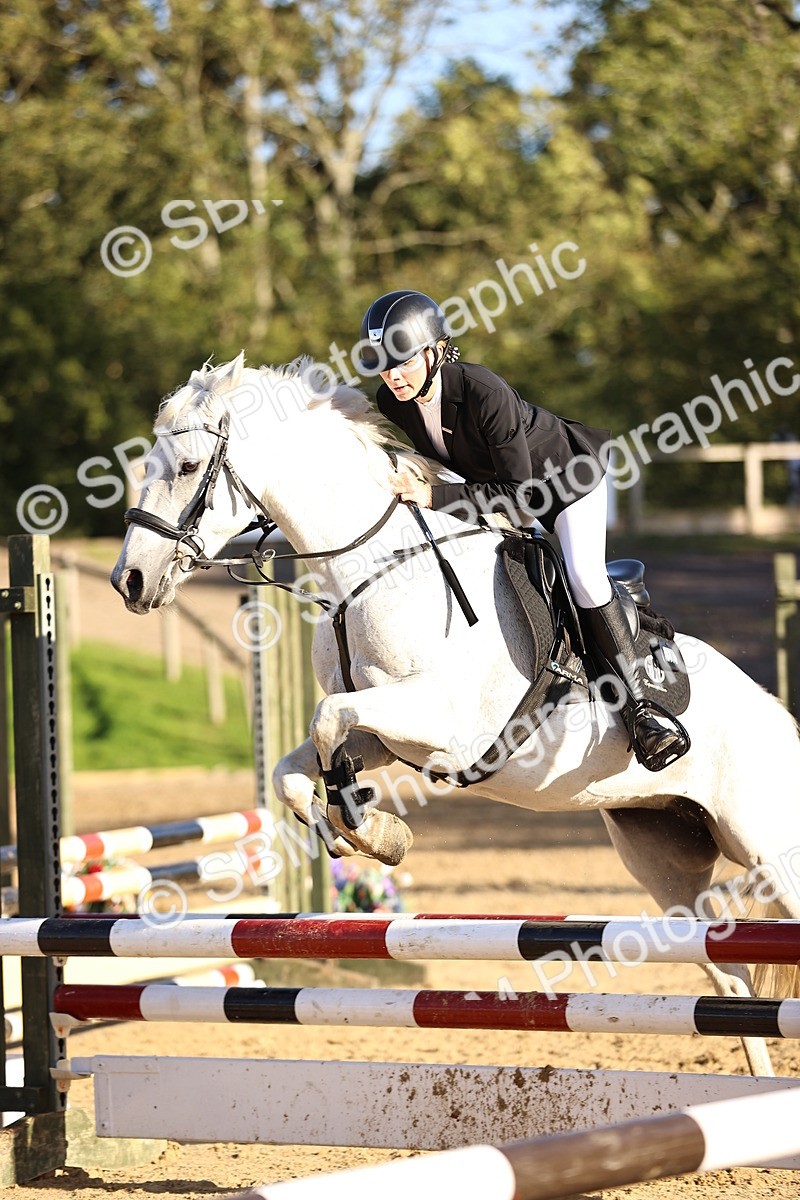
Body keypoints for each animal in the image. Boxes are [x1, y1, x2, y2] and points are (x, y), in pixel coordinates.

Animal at [111, 353, 800, 1078]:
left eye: (188, 467)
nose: (129, 580)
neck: (370, 572)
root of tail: (778, 715)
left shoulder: (440, 724)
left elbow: (327, 719)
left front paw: (363, 821)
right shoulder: (387, 734)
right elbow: (295, 766)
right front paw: (361, 829)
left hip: (767, 845)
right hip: (664, 855)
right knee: (730, 977)